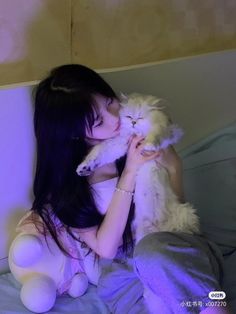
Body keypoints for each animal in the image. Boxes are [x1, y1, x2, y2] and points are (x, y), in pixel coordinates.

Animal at [76, 92, 200, 244]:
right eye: (129, 116)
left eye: (140, 117)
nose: (133, 122)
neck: (138, 134)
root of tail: (161, 226)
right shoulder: (121, 143)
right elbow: (99, 152)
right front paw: (83, 168)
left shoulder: (170, 130)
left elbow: (156, 133)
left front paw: (149, 145)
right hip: (144, 232)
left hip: (187, 214)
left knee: (188, 230)